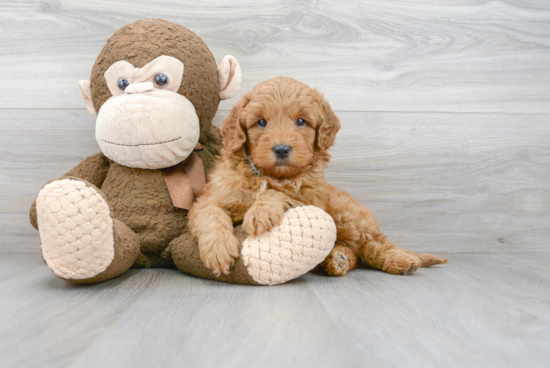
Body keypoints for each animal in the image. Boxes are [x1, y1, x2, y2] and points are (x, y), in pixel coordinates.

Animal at [190, 75, 448, 276]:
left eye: (301, 121)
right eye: (261, 122)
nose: (281, 149)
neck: (268, 175)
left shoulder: (308, 199)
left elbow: (278, 194)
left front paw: (260, 212)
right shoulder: (211, 198)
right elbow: (211, 214)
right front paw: (219, 249)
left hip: (348, 216)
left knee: (374, 245)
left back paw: (401, 260)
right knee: (355, 253)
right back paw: (337, 260)